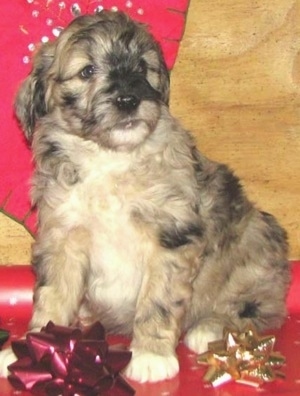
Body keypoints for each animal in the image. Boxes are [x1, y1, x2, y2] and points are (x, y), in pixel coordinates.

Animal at [0, 10, 290, 384]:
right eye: (87, 71)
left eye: (142, 67)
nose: (128, 100)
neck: (110, 158)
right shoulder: (63, 236)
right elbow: (52, 297)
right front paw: (32, 347)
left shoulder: (171, 236)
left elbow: (158, 301)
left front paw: (152, 355)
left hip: (254, 245)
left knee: (258, 308)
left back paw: (210, 328)